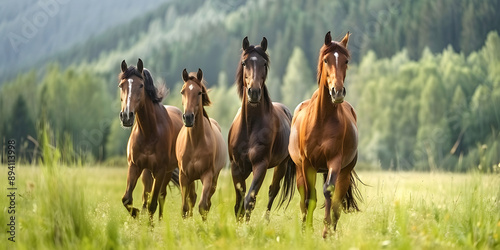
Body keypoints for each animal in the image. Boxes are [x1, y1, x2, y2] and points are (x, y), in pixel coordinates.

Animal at [118, 58, 183, 219]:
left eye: (141, 85)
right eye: (121, 85)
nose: (126, 116)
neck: (149, 132)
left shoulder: (160, 171)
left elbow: (153, 204)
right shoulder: (134, 166)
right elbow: (127, 199)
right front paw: (137, 214)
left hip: (167, 172)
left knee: (161, 196)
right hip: (147, 172)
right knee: (147, 197)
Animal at [175, 68, 228, 221]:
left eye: (199, 92)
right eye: (182, 91)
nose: (188, 117)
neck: (195, 143)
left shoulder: (207, 175)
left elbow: (203, 206)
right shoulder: (184, 176)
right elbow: (185, 207)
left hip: (214, 179)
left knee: (206, 201)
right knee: (192, 198)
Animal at [228, 36, 294, 221]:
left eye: (264, 63)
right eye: (244, 63)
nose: (254, 92)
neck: (250, 126)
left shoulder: (260, 166)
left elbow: (249, 201)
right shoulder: (237, 168)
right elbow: (238, 205)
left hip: (281, 165)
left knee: (273, 190)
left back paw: (265, 220)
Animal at [290, 32, 364, 237]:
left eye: (346, 61)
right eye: (326, 60)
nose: (337, 92)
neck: (322, 119)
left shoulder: (335, 162)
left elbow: (329, 193)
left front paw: (326, 230)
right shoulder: (308, 164)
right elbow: (309, 198)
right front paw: (307, 230)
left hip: (344, 172)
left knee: (336, 202)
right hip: (300, 170)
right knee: (304, 199)